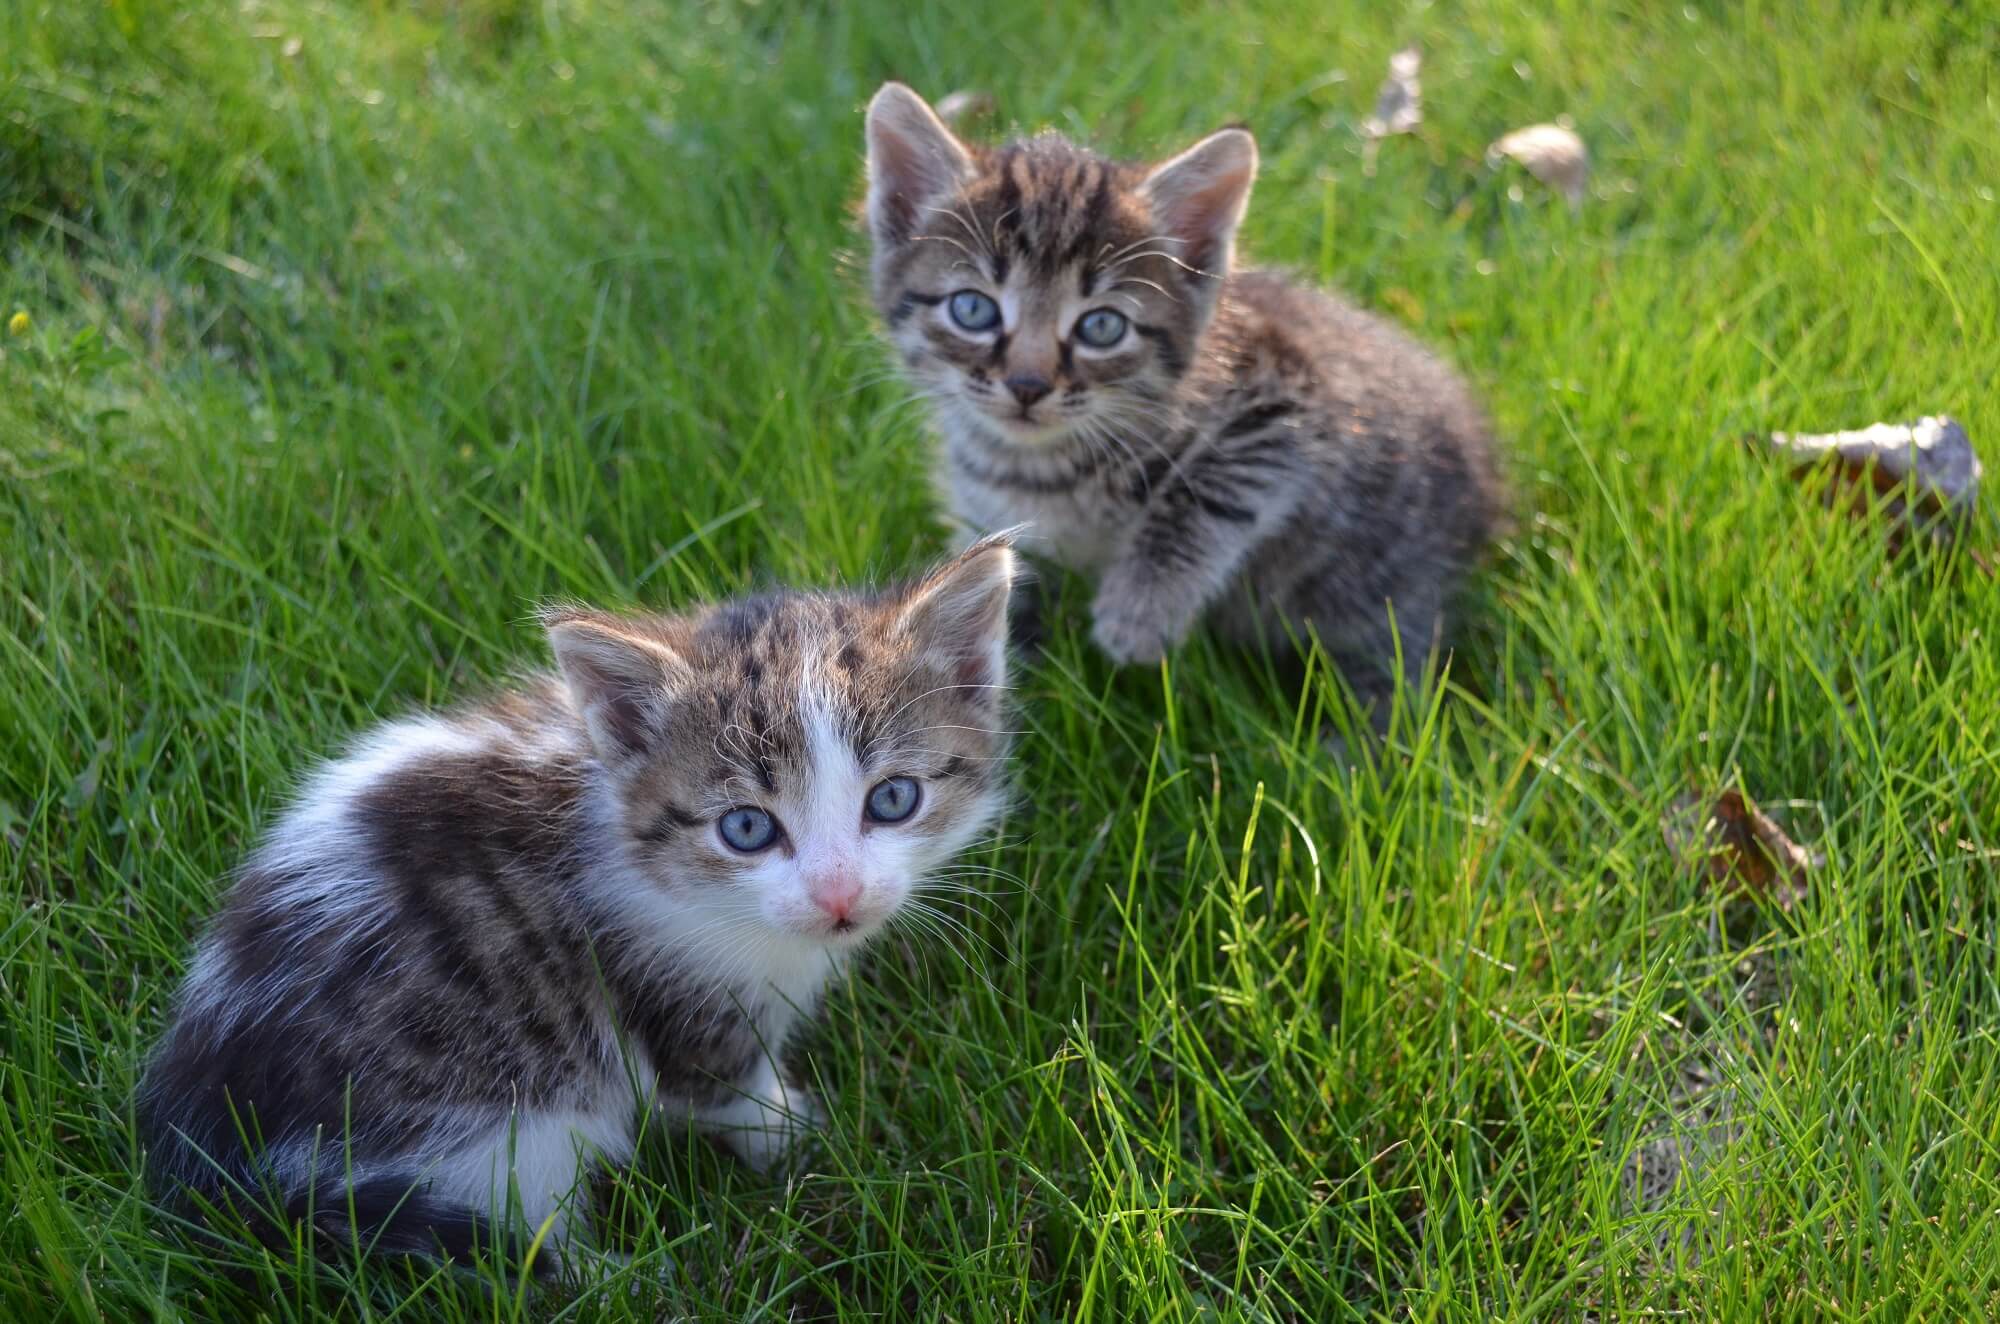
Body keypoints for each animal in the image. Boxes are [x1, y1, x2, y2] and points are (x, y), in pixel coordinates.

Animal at [137, 540, 1016, 1264]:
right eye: (745, 828)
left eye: (895, 798)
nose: (839, 896)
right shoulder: (668, 989)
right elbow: (722, 1084)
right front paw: (798, 1139)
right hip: (496, 1129)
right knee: (522, 1243)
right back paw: (618, 1279)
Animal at [860, 84, 1504, 716]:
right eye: (972, 310)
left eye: (1101, 327)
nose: (1027, 385)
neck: (1040, 466)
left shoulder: (1287, 400)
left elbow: (1209, 488)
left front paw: (1140, 609)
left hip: (1384, 581)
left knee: (1394, 663)